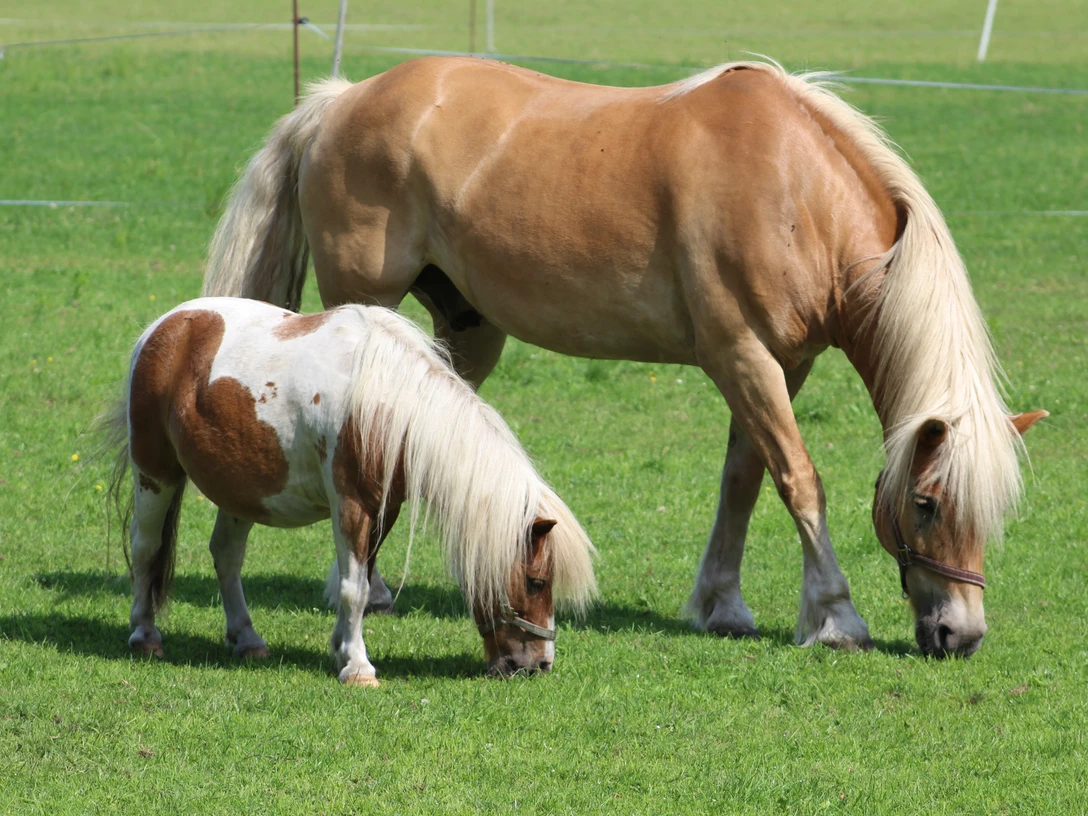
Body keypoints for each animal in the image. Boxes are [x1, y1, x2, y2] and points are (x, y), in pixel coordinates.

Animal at [103, 297, 597, 684]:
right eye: (536, 582)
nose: (539, 664)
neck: (386, 403)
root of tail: (164, 327)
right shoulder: (353, 505)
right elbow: (353, 587)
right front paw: (358, 667)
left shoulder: (384, 508)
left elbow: (359, 577)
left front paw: (342, 647)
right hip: (155, 472)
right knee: (145, 548)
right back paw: (145, 636)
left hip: (240, 492)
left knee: (226, 556)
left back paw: (247, 639)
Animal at [202, 56, 1046, 657]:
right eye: (927, 503)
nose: (961, 635)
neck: (795, 188)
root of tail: (342, 99)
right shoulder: (742, 358)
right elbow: (799, 482)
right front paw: (834, 616)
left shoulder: (778, 365)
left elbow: (743, 481)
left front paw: (722, 605)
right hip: (368, 309)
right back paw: (363, 590)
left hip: (467, 331)